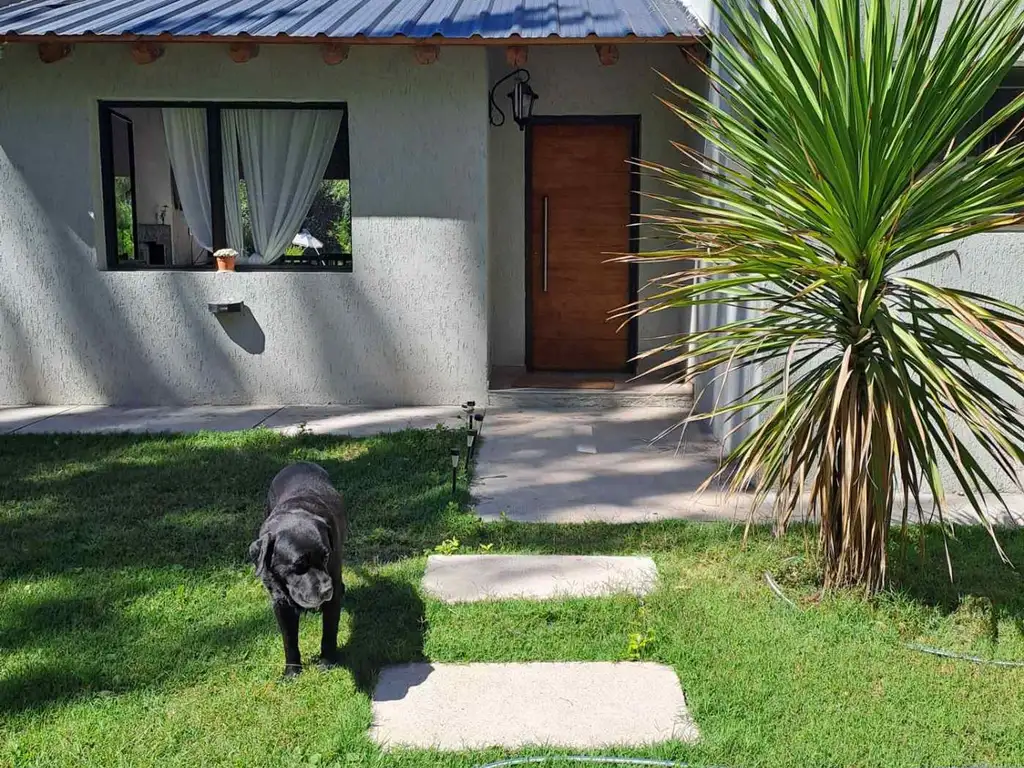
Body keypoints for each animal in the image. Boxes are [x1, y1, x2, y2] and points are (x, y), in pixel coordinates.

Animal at [247, 466, 348, 675]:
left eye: (325, 557)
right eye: (298, 565)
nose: (326, 590)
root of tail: (299, 462)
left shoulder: (333, 596)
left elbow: (329, 631)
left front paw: (327, 662)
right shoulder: (280, 602)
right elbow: (289, 639)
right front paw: (292, 672)